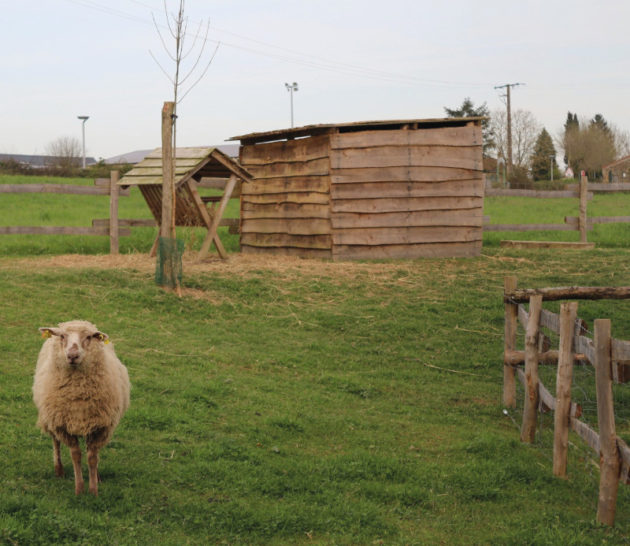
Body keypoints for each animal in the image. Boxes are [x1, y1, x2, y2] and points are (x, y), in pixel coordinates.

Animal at [33, 318, 131, 492]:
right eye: (62, 336)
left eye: (89, 337)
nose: (72, 355)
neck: (78, 393)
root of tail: (77, 319)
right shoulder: (63, 426)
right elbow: (76, 455)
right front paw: (79, 489)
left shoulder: (100, 427)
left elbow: (92, 457)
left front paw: (93, 490)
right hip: (50, 418)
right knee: (55, 442)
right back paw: (59, 470)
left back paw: (96, 476)